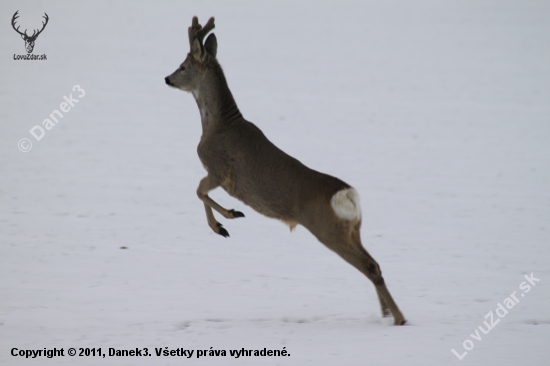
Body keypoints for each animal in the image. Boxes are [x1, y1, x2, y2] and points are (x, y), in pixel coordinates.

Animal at [164, 15, 406, 324]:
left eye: (183, 66)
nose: (167, 78)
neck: (217, 125)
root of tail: (347, 195)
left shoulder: (220, 170)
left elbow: (198, 191)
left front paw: (227, 220)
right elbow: (199, 193)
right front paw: (225, 222)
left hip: (327, 230)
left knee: (370, 267)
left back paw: (398, 318)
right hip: (353, 229)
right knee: (375, 262)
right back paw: (385, 313)